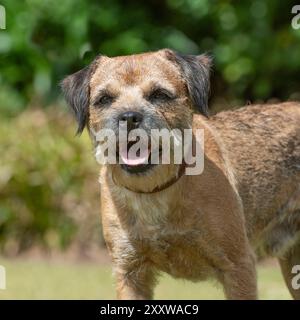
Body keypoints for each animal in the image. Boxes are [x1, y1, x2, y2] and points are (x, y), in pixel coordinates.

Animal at [61, 48, 300, 298]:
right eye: (105, 99)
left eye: (159, 94)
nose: (129, 117)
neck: (154, 193)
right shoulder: (130, 273)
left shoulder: (238, 266)